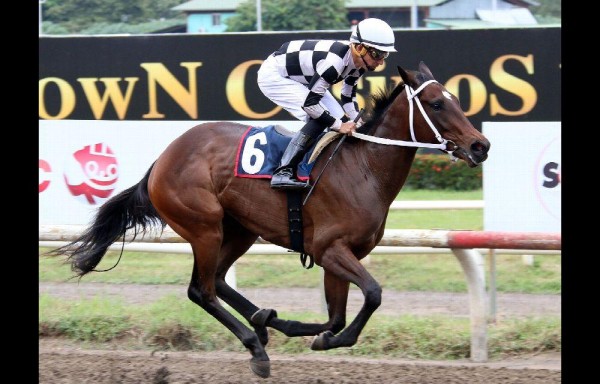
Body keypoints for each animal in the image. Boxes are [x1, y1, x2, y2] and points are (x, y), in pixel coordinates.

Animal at [47, 62, 488, 378]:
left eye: (455, 99)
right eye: (437, 104)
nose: (480, 145)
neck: (362, 168)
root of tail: (161, 160)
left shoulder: (340, 255)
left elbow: (337, 315)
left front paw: (301, 330)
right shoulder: (330, 249)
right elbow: (373, 295)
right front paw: (322, 338)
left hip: (239, 229)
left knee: (219, 281)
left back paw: (261, 322)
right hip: (204, 227)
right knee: (201, 290)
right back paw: (255, 347)